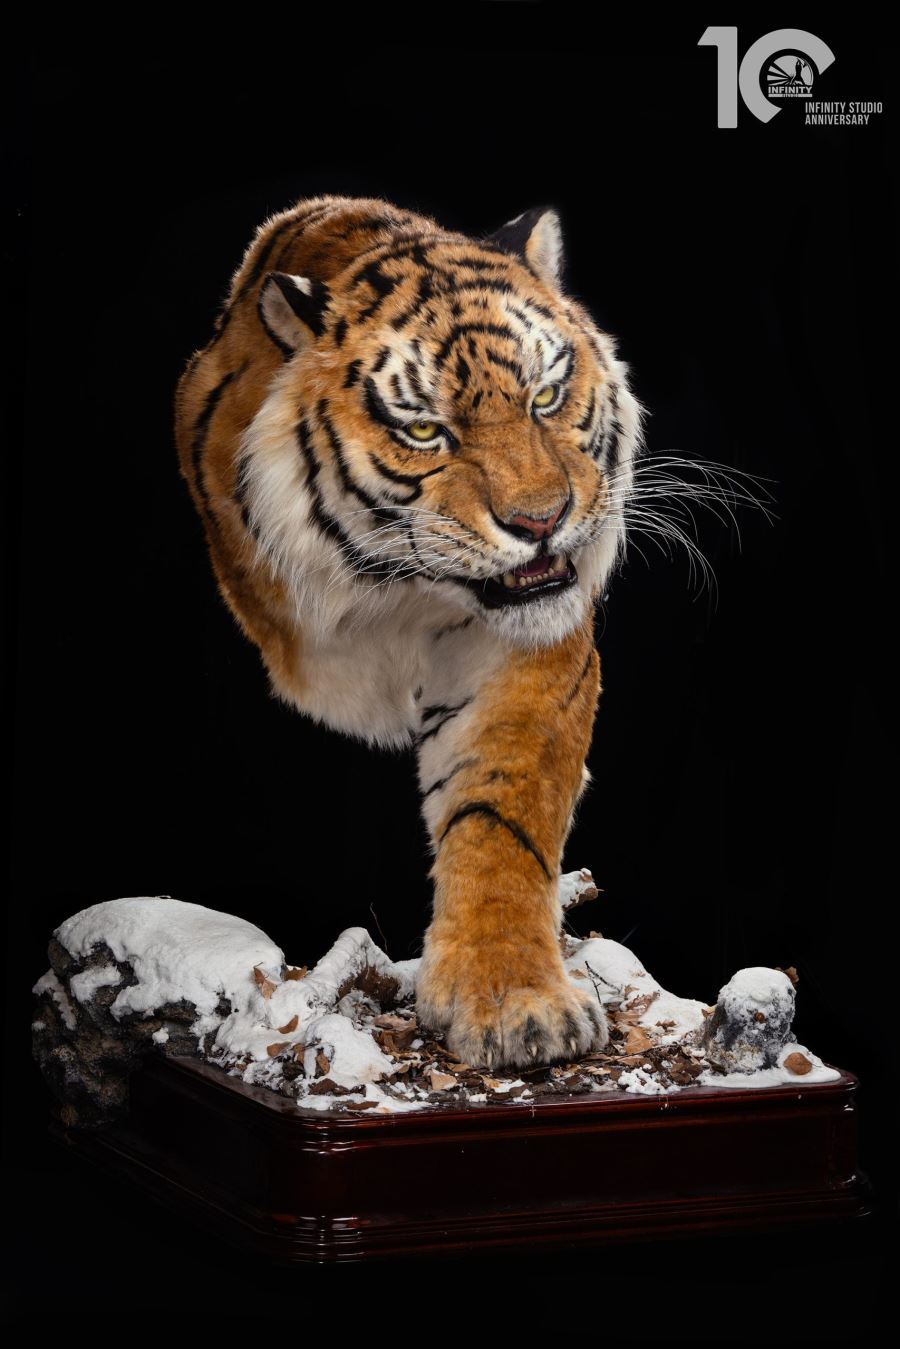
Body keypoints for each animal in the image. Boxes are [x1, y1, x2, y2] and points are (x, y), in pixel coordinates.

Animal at [174, 193, 647, 1073]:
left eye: (545, 397)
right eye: (427, 432)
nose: (542, 521)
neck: (395, 594)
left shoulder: (522, 656)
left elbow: (501, 820)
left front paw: (514, 1004)